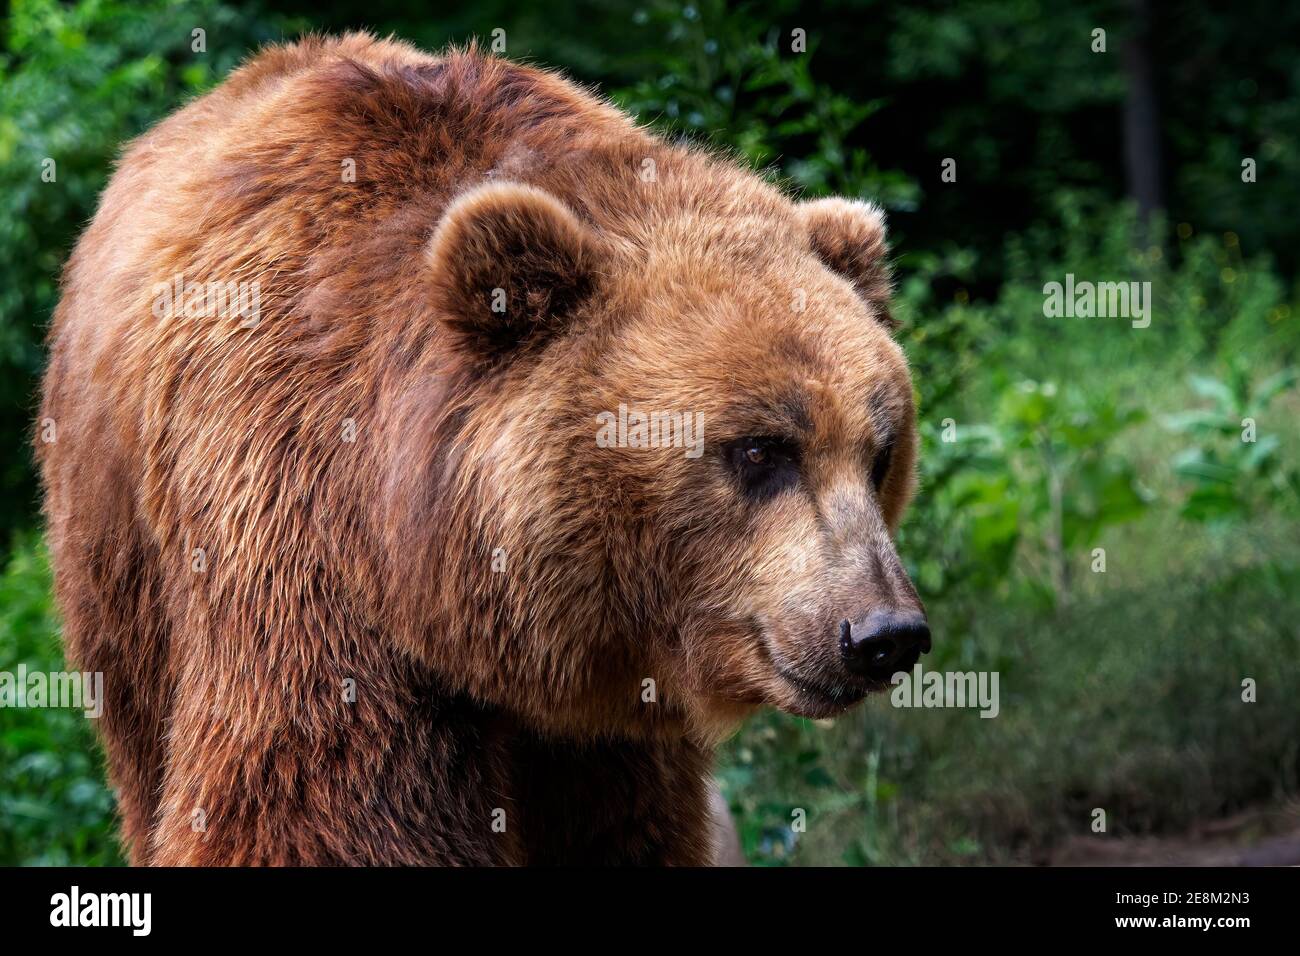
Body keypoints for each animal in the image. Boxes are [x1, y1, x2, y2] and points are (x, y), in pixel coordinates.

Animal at [35, 33, 930, 868]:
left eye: (880, 452)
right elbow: (313, 808)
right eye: (758, 450)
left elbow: (622, 825)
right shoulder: (298, 544)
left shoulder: (604, 733)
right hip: (121, 568)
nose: (884, 632)